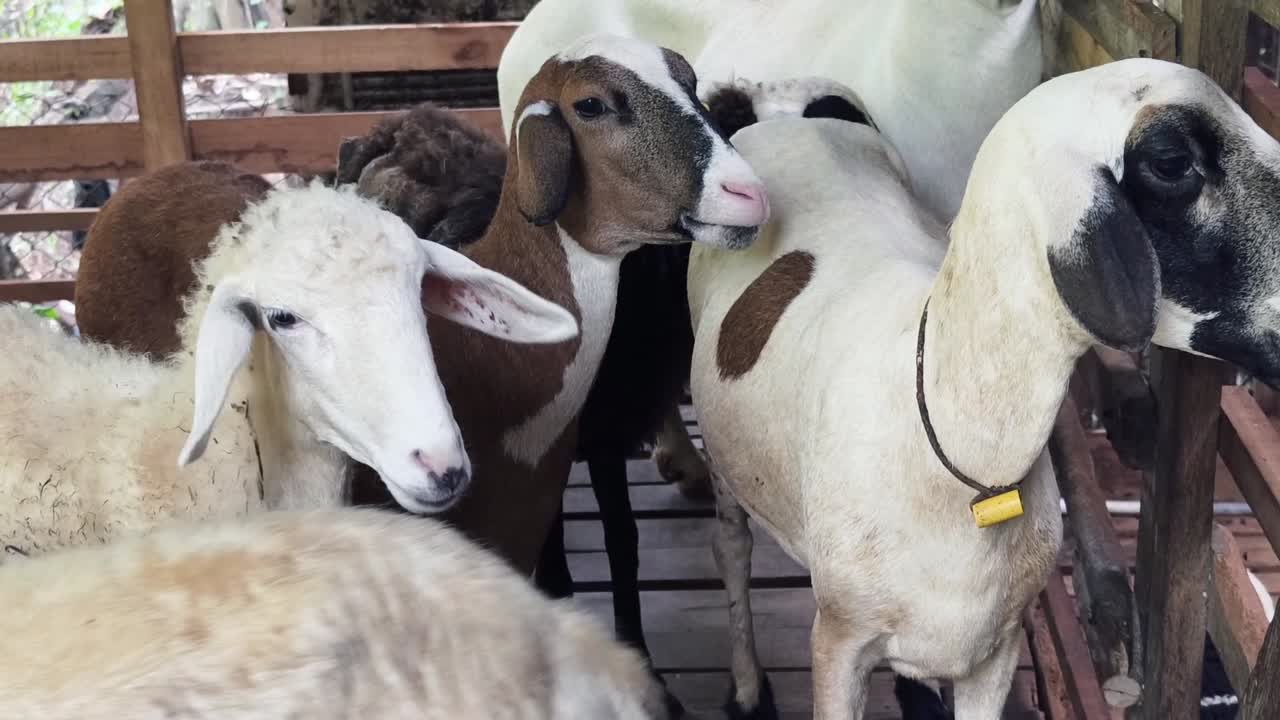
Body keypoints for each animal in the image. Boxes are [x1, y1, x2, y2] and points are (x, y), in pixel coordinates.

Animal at [688, 61, 1280, 720]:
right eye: (1172, 162)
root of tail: (775, 104)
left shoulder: (994, 652)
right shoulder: (839, 641)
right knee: (730, 549)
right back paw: (746, 687)